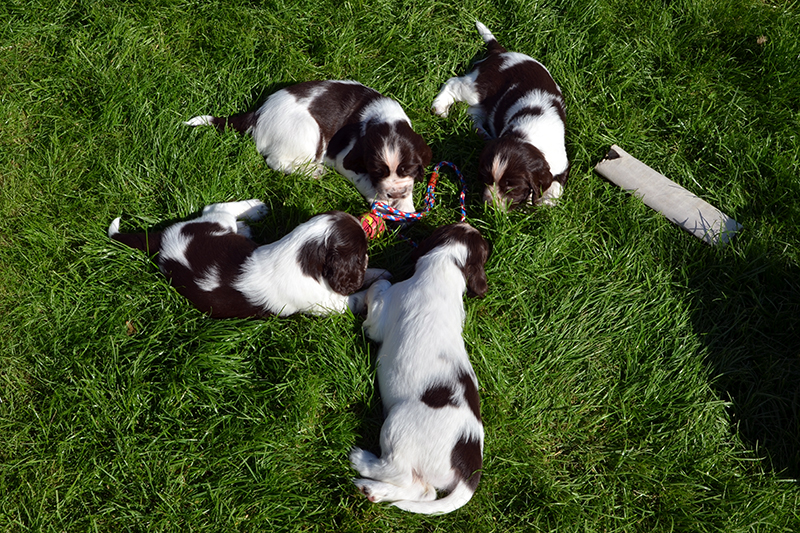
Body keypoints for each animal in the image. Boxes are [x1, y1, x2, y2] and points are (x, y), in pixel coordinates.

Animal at [108, 198, 390, 316]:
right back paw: (256, 207)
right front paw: (378, 284)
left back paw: (249, 221)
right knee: (215, 207)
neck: (302, 252)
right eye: (362, 252)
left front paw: (382, 272)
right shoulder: (325, 303)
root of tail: (164, 237)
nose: (367, 258)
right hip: (213, 223)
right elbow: (355, 298)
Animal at [184, 79, 432, 212]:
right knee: (276, 161)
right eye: (377, 171)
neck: (383, 117)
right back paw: (314, 171)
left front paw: (406, 206)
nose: (394, 193)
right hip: (307, 130)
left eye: (408, 169)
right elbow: (363, 180)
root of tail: (258, 114)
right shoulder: (344, 158)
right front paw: (379, 199)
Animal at [348, 222, 488, 512]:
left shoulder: (380, 316)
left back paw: (362, 461)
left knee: (401, 473)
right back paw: (373, 490)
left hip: (397, 423)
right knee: (424, 491)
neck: (445, 266)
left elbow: (381, 286)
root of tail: (468, 471)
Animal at [432, 22, 568, 210]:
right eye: (486, 178)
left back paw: (482, 133)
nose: (489, 206)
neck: (525, 136)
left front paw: (545, 200)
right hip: (477, 88)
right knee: (453, 83)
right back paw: (439, 107)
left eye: (511, 186)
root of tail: (501, 53)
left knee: (474, 113)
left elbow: (556, 185)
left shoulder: (561, 162)